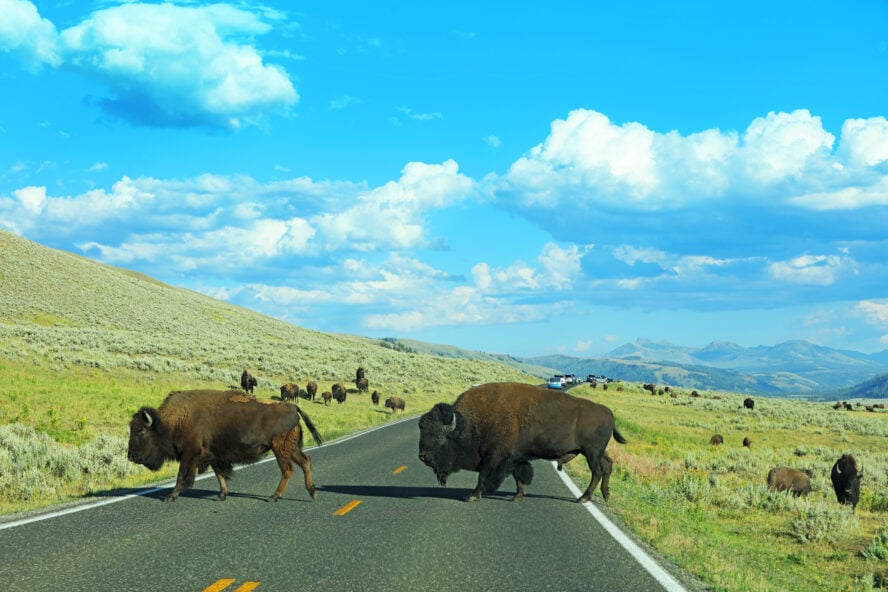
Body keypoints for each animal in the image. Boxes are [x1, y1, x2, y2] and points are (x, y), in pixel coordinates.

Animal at [123, 390, 320, 502]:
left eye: (141, 432)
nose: (130, 456)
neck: (174, 420)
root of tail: (293, 408)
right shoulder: (213, 455)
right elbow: (219, 474)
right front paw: (222, 495)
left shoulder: (189, 454)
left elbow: (181, 476)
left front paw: (170, 497)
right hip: (291, 448)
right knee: (305, 461)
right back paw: (312, 492)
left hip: (280, 449)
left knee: (287, 469)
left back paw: (274, 497)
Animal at [418, 382, 624, 502]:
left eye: (439, 437)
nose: (422, 456)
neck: (466, 423)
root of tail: (608, 412)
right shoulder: (515, 457)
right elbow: (519, 476)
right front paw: (517, 496)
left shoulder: (494, 456)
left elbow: (484, 475)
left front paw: (473, 495)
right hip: (596, 452)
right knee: (607, 465)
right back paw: (605, 495)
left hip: (591, 453)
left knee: (597, 472)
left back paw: (583, 498)